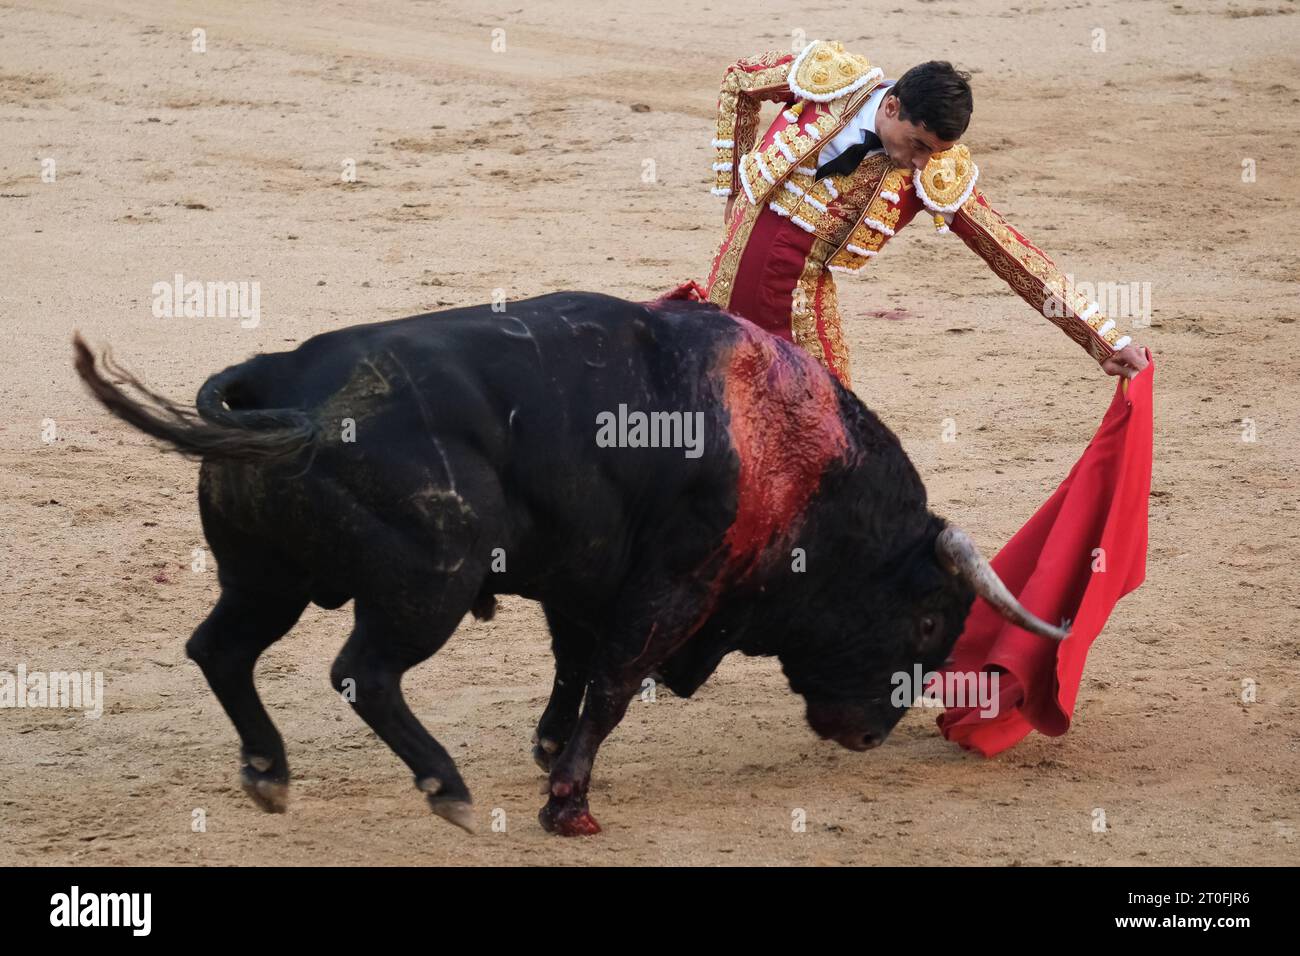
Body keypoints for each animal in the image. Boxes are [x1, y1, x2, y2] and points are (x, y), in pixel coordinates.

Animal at [73, 291, 1066, 837]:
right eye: (929, 621)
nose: (870, 735)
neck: (802, 464)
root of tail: (279, 389)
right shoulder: (671, 588)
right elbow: (616, 684)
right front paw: (570, 806)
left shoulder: (581, 579)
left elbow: (574, 665)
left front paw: (551, 752)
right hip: (426, 586)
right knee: (364, 672)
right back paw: (448, 790)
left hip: (264, 578)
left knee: (222, 650)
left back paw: (270, 775)